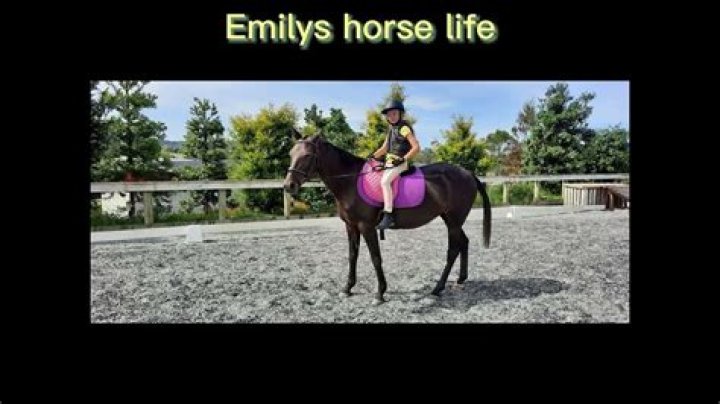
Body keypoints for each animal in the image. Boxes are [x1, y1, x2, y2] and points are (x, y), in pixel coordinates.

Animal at [283, 129, 491, 305]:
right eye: (291, 154)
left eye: (307, 155)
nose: (288, 186)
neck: (351, 180)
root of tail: (467, 173)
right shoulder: (350, 226)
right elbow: (352, 256)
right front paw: (347, 288)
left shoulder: (366, 226)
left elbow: (375, 257)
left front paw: (380, 293)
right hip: (450, 219)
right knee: (464, 242)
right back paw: (460, 279)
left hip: (454, 221)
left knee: (453, 249)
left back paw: (437, 288)